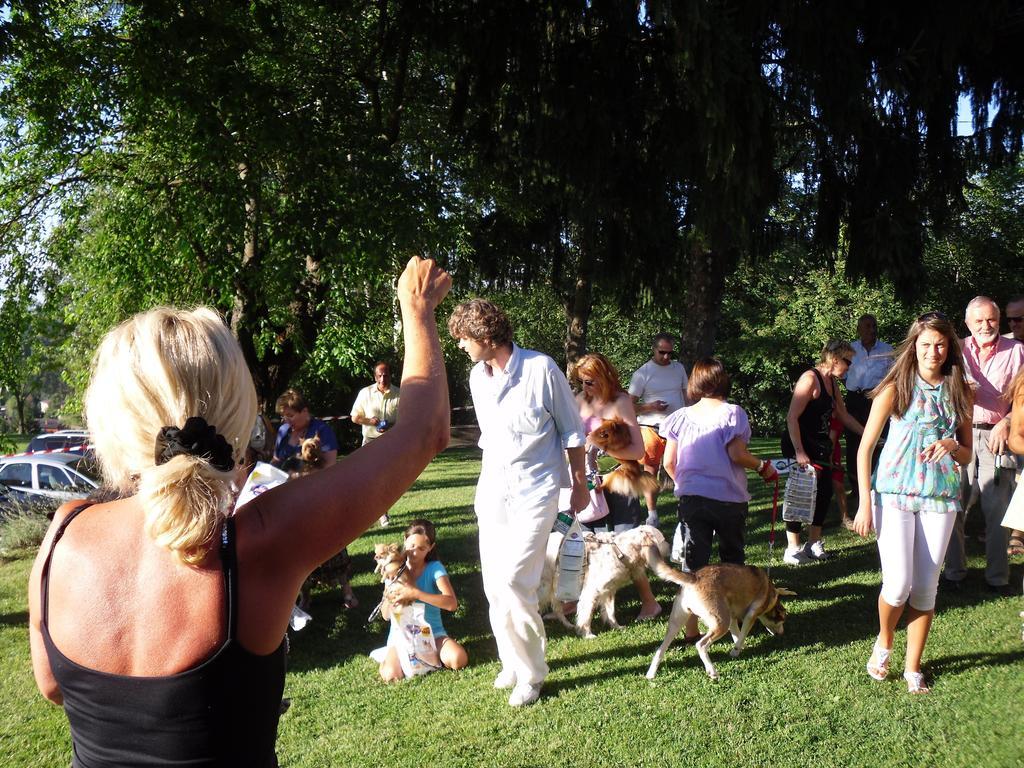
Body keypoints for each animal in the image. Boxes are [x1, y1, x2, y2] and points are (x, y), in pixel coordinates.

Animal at [643, 561, 794, 684]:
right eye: (782, 620)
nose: (782, 633)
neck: (770, 594)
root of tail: (694, 577)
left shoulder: (732, 619)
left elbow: (737, 635)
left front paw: (739, 648)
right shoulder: (750, 616)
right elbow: (742, 635)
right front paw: (735, 651)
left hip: (675, 624)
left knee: (660, 650)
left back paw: (651, 674)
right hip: (721, 624)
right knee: (700, 645)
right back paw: (712, 671)